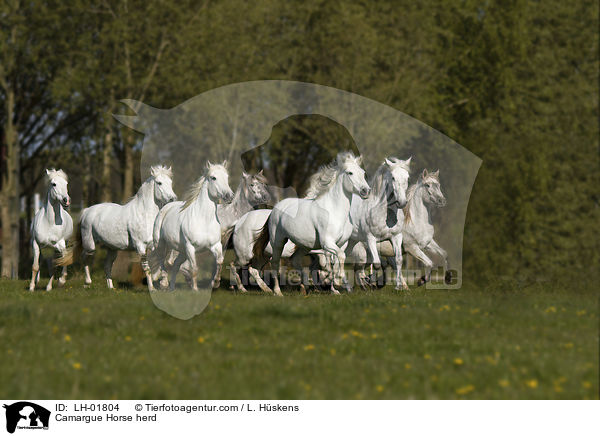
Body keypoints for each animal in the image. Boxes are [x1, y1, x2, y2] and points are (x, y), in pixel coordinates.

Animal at [150, 162, 234, 292]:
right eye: (213, 178)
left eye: (226, 177)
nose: (229, 196)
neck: (204, 220)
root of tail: (166, 207)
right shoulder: (190, 247)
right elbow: (194, 268)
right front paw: (195, 289)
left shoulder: (215, 245)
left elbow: (219, 262)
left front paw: (215, 283)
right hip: (161, 244)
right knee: (162, 261)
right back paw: (164, 284)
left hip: (182, 251)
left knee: (175, 264)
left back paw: (172, 288)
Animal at [251, 152, 368, 294]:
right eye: (350, 173)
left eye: (362, 172)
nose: (365, 191)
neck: (334, 210)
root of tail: (275, 209)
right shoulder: (327, 242)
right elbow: (340, 257)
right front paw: (338, 280)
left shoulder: (340, 244)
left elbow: (337, 261)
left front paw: (334, 286)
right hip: (277, 241)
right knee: (275, 262)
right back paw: (277, 291)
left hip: (304, 245)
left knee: (295, 260)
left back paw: (305, 285)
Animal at [346, 157, 412, 290]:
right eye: (393, 178)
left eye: (407, 177)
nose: (402, 202)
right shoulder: (370, 238)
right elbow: (377, 263)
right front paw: (372, 282)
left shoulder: (396, 237)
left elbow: (398, 261)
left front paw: (398, 287)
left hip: (352, 242)